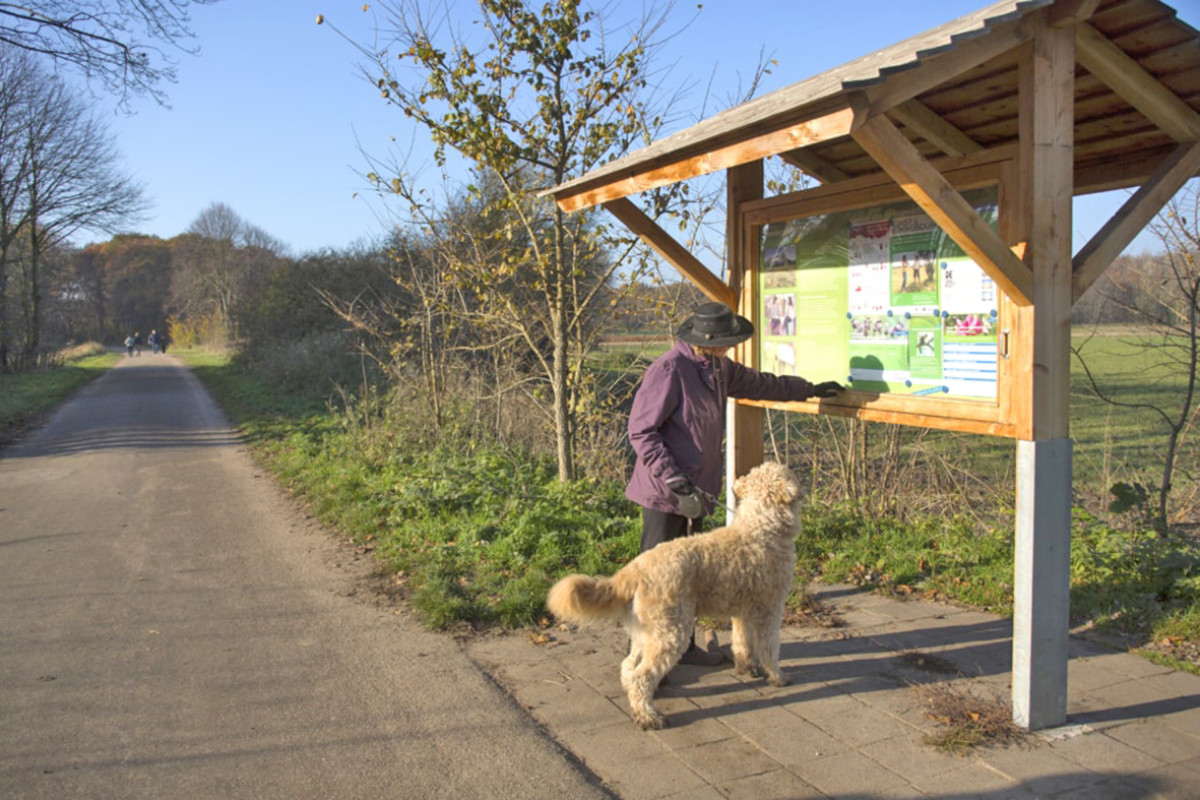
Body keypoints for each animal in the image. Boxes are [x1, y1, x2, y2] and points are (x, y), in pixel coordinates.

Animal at [549, 462, 801, 734]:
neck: (762, 527)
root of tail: (635, 568)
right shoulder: (770, 610)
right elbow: (769, 648)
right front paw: (777, 677)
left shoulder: (742, 612)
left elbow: (742, 643)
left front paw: (747, 668)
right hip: (670, 633)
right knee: (640, 677)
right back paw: (648, 717)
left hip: (646, 634)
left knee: (628, 667)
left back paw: (640, 705)